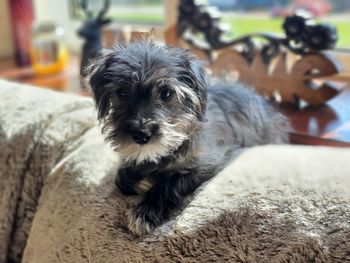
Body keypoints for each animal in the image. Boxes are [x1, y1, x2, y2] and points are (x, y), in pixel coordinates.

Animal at [85, 41, 290, 237]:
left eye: (167, 93)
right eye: (121, 92)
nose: (141, 134)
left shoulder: (209, 162)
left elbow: (173, 181)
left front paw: (146, 209)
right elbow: (120, 178)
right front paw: (142, 182)